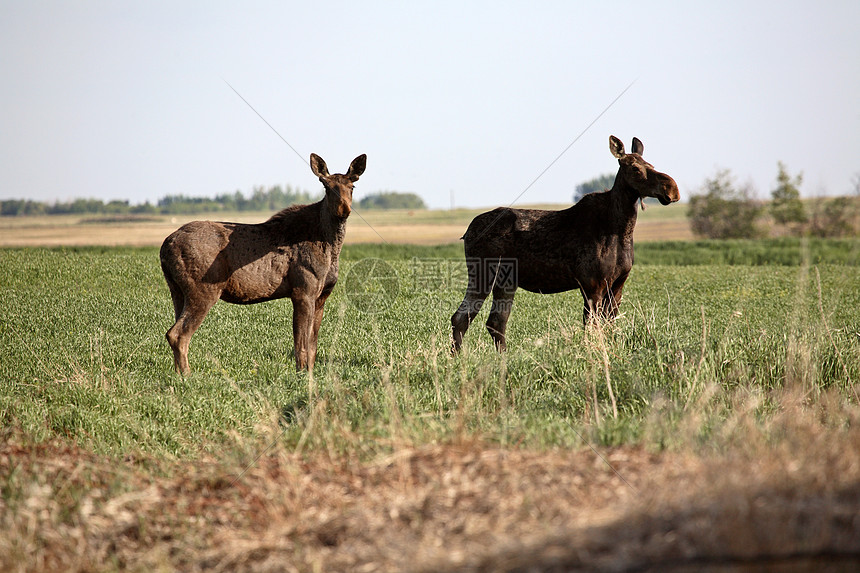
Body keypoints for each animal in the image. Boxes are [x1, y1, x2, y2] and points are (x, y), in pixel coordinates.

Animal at [161, 154, 366, 374]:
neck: (331, 249)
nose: (344, 209)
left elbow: (313, 347)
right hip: (202, 289)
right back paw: (188, 376)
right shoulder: (303, 291)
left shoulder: (322, 295)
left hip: (177, 290)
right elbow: (301, 345)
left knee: (174, 331)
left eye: (352, 186)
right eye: (326, 186)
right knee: (178, 334)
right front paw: (301, 374)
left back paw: (179, 373)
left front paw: (310, 373)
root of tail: (164, 247)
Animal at [450, 137, 680, 354]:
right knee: (461, 318)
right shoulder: (592, 284)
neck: (622, 229)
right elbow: (592, 327)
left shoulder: (617, 285)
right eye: (635, 168)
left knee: (495, 321)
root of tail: (467, 232)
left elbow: (608, 327)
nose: (672, 189)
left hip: (506, 281)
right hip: (483, 274)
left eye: (650, 164)